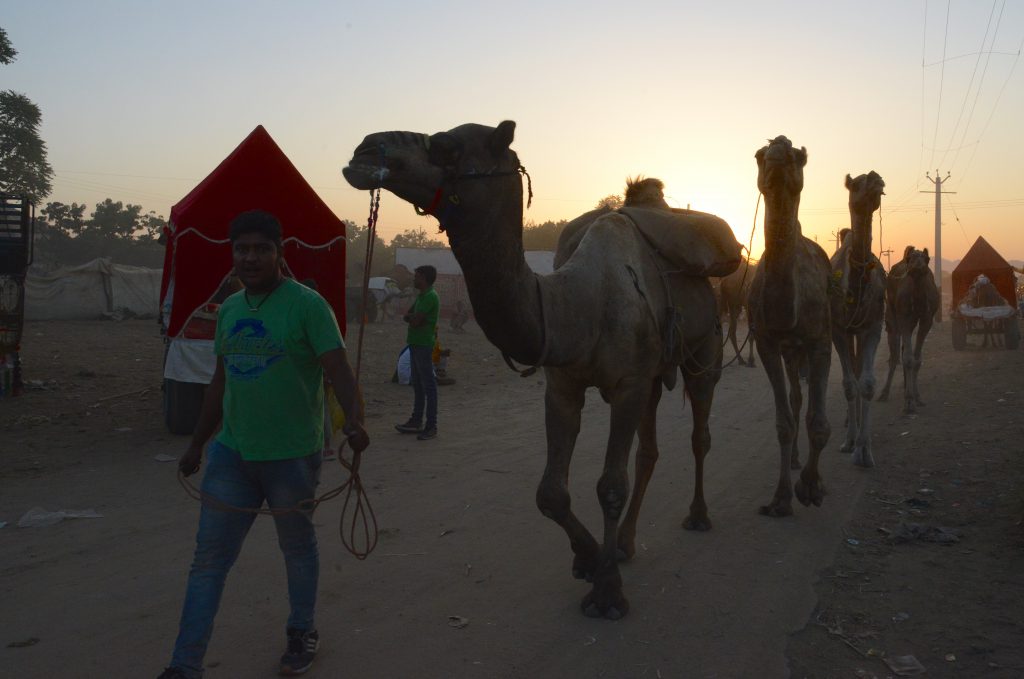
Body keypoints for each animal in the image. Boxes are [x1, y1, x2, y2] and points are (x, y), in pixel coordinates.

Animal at [344, 122, 737, 622]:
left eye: (445, 145)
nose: (365, 149)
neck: (578, 304)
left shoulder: (626, 385)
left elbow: (610, 486)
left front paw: (608, 594)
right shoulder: (564, 386)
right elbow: (550, 493)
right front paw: (590, 559)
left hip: (705, 346)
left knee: (698, 433)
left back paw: (697, 516)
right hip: (653, 374)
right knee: (649, 452)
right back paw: (625, 544)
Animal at [872, 245, 937, 411]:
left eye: (927, 259)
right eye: (910, 259)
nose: (918, 267)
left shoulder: (927, 319)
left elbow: (917, 359)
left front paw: (917, 397)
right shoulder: (904, 317)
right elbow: (908, 358)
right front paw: (908, 402)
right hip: (891, 315)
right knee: (894, 355)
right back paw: (884, 393)